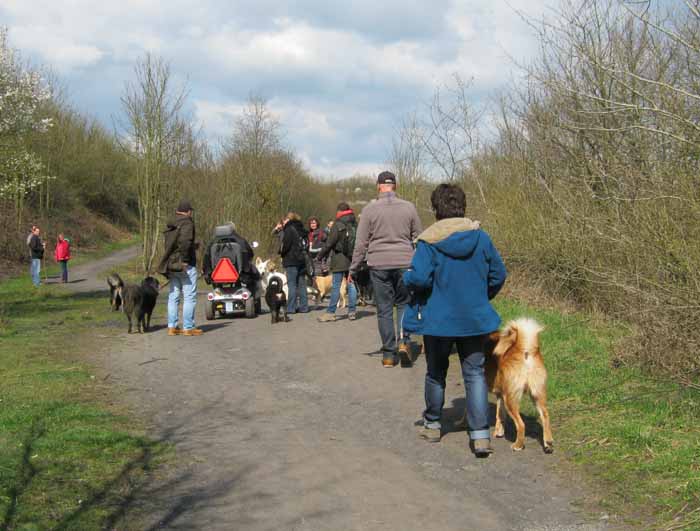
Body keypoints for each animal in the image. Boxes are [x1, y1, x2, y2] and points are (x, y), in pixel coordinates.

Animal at [484, 318, 556, 456]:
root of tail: (524, 349)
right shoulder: (500, 394)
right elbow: (500, 414)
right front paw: (499, 431)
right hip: (536, 394)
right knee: (545, 416)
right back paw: (548, 444)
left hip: (511, 399)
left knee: (521, 425)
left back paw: (518, 445)